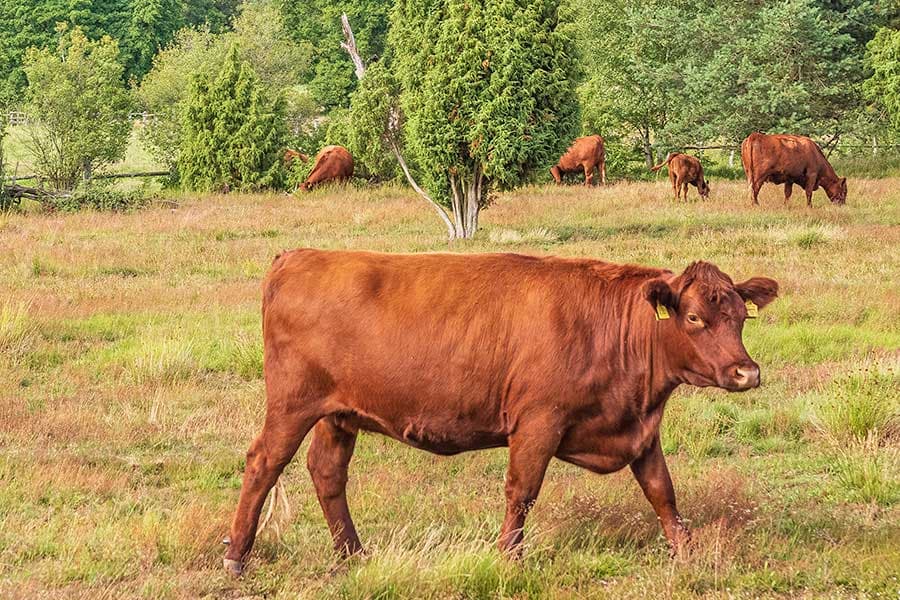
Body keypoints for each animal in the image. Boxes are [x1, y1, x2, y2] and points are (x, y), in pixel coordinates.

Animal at [221, 250, 776, 576]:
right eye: (694, 317)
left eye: (740, 316)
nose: (746, 372)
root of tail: (297, 257)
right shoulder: (538, 423)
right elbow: (522, 492)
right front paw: (510, 559)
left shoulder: (638, 431)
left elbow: (662, 490)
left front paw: (687, 554)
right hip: (292, 406)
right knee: (263, 464)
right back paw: (236, 556)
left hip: (338, 416)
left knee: (327, 473)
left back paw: (353, 555)